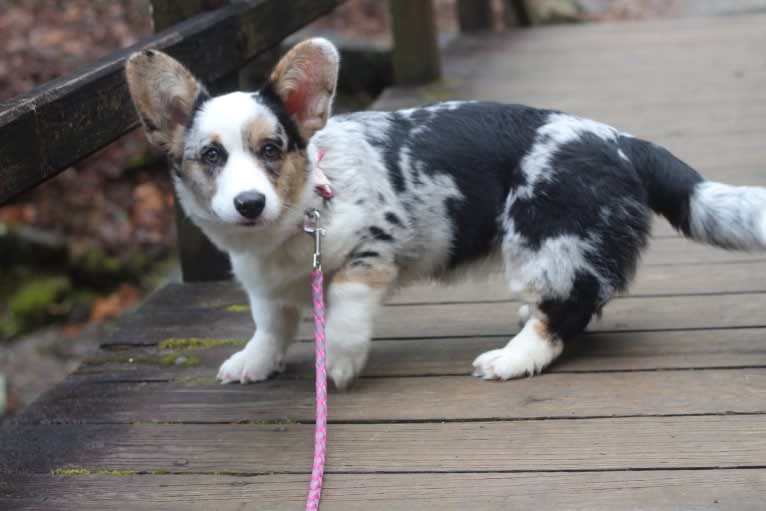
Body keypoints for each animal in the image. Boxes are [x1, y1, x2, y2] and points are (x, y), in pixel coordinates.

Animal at [126, 38, 766, 390]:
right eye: (211, 155)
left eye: (271, 149)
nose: (249, 203)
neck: (299, 211)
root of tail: (621, 141)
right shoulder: (265, 284)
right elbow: (270, 324)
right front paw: (253, 363)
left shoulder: (370, 252)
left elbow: (344, 309)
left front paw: (339, 367)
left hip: (548, 234)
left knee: (567, 311)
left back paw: (512, 358)